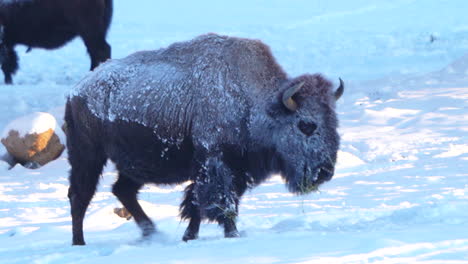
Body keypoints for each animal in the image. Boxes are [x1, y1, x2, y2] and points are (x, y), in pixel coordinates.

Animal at [65, 33, 344, 245]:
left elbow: (198, 204)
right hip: (88, 156)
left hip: (134, 166)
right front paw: (232, 235)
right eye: (306, 125)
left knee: (122, 191)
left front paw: (190, 236)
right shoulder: (214, 163)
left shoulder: (233, 170)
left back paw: (151, 232)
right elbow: (220, 203)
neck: (254, 101)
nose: (325, 172)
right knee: (80, 196)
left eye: (334, 122)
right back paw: (80, 243)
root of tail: (76, 91)